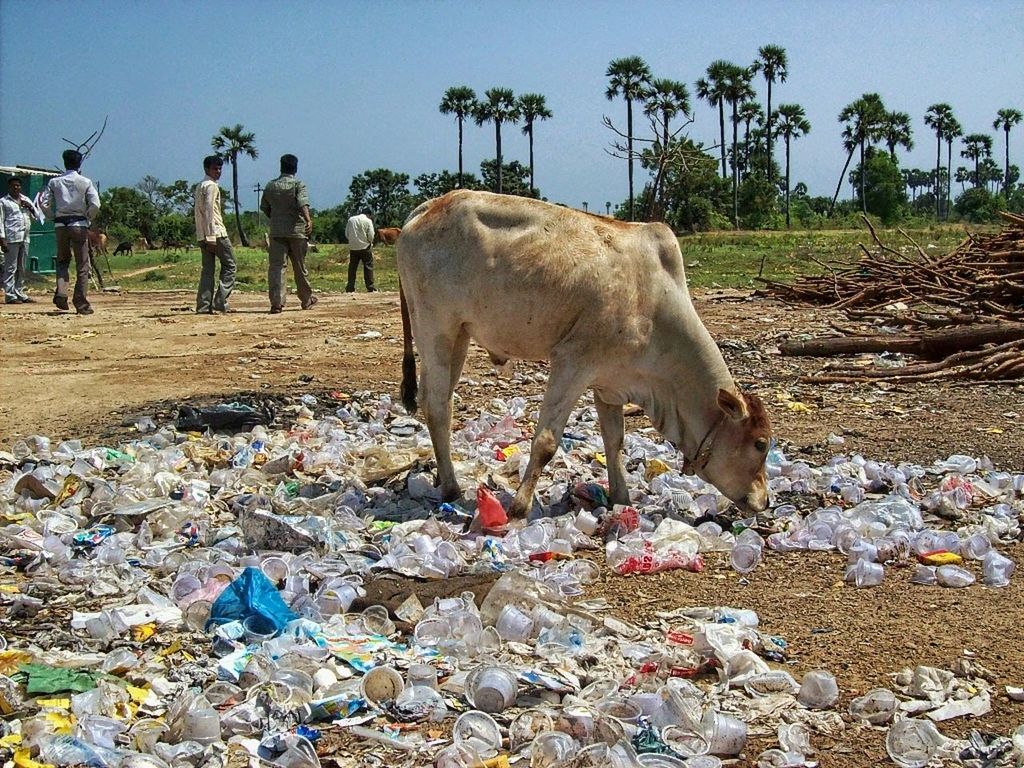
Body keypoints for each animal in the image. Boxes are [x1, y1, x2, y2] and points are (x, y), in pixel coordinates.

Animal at [395, 189, 770, 520]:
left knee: (438, 400)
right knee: (438, 406)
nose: (765, 501)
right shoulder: (574, 361)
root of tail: (427, 207)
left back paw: (443, 478)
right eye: (760, 444)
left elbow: (615, 440)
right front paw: (519, 508)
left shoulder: (610, 381)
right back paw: (452, 488)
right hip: (436, 328)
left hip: (459, 335)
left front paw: (621, 498)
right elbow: (547, 441)